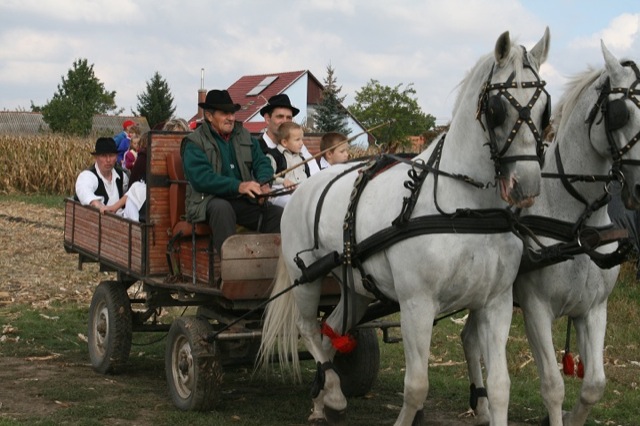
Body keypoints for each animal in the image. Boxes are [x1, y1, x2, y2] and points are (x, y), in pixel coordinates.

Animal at [258, 28, 551, 426]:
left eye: (545, 108)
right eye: (496, 109)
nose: (528, 186)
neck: (465, 211)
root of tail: (303, 186)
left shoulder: (496, 303)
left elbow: (500, 386)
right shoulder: (417, 304)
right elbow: (416, 385)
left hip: (356, 289)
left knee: (330, 329)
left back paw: (322, 399)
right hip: (306, 278)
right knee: (308, 329)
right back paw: (331, 393)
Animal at [462, 42, 640, 426]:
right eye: (620, 113)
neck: (577, 223)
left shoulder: (594, 309)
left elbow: (594, 385)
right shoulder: (536, 308)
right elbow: (553, 386)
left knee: (469, 337)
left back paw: (481, 406)